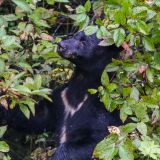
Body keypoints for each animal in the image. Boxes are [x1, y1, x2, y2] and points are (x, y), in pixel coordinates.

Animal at [2, 31, 121, 160]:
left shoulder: (104, 108)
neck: (82, 86)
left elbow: (97, 142)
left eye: (84, 42)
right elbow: (34, 115)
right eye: (75, 35)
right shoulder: (61, 99)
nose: (62, 45)